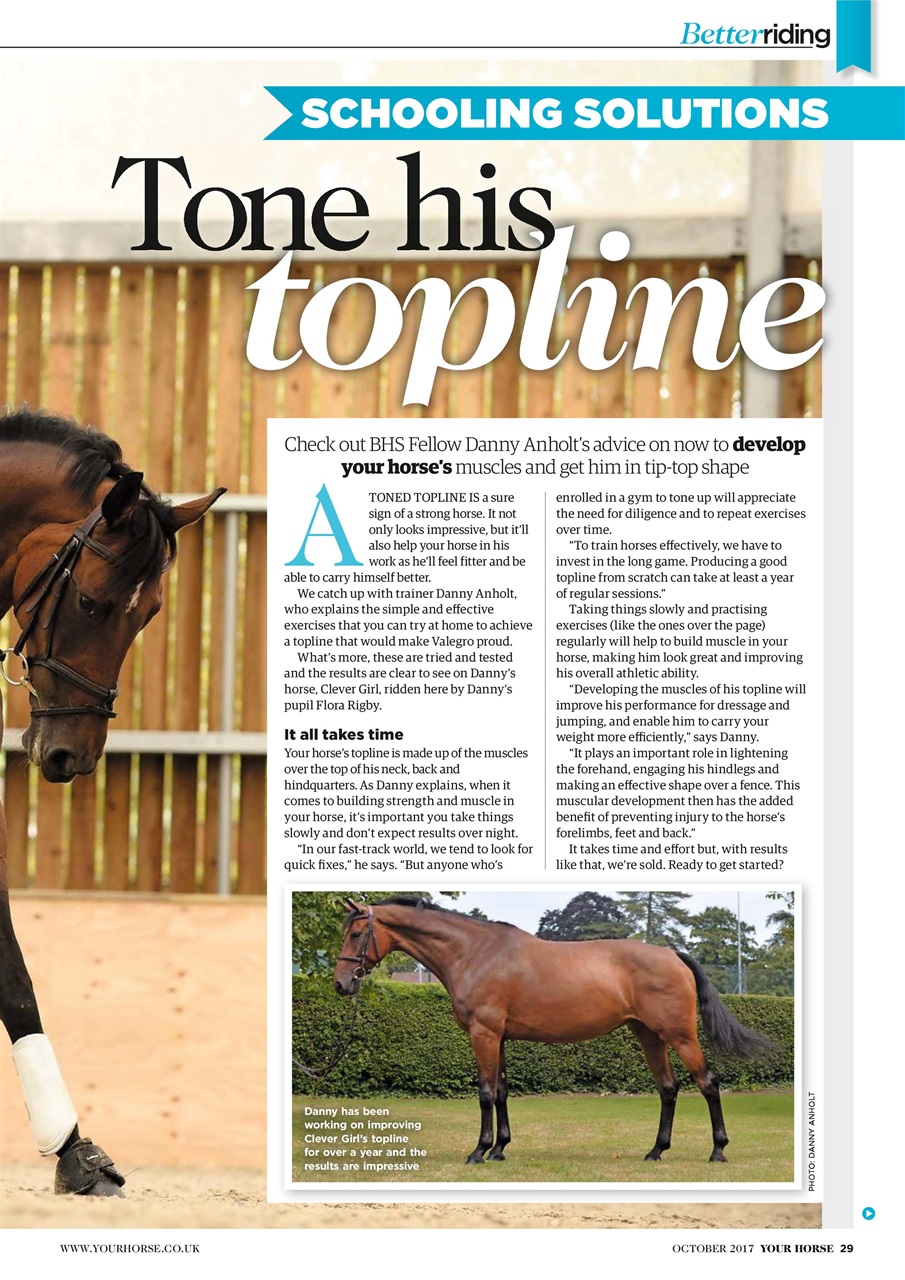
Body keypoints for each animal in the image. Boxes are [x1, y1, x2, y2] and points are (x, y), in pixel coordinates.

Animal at [334, 896, 775, 1167]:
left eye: (356, 934)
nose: (341, 984)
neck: (474, 953)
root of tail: (672, 954)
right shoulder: (500, 1037)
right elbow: (502, 1092)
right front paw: (500, 1149)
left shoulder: (483, 1034)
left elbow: (485, 1092)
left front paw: (479, 1151)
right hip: (648, 1036)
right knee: (668, 1089)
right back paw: (656, 1151)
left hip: (680, 1036)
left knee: (708, 1083)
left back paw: (717, 1151)